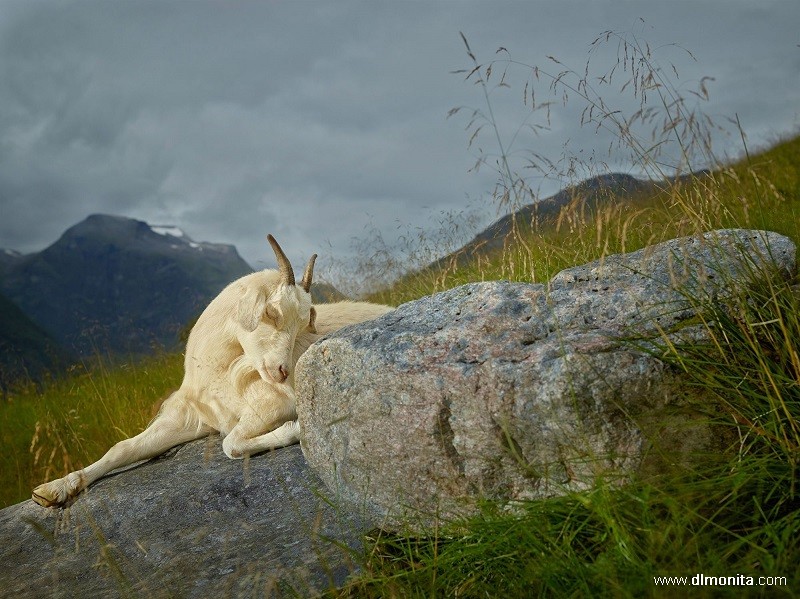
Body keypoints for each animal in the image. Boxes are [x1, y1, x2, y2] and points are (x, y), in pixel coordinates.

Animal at [32, 237, 394, 508]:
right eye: (271, 312)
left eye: (305, 324)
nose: (282, 371)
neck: (218, 374)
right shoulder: (191, 417)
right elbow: (123, 448)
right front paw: (53, 490)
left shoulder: (270, 405)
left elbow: (230, 444)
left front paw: (294, 430)